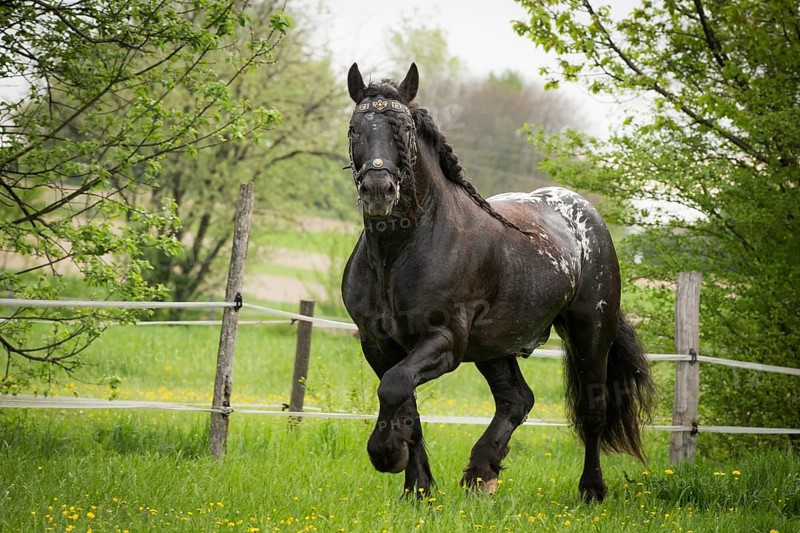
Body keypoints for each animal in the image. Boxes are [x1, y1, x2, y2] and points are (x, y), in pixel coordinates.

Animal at [341, 63, 655, 502]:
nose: (378, 190)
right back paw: (481, 473)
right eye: (355, 129)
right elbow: (405, 404)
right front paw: (417, 490)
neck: (400, 252)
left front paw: (386, 455)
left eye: (403, 128)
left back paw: (591, 490)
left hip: (590, 335)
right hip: (495, 346)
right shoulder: (378, 344)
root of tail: (585, 215)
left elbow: (394, 386)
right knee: (516, 400)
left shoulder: (444, 341)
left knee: (593, 411)